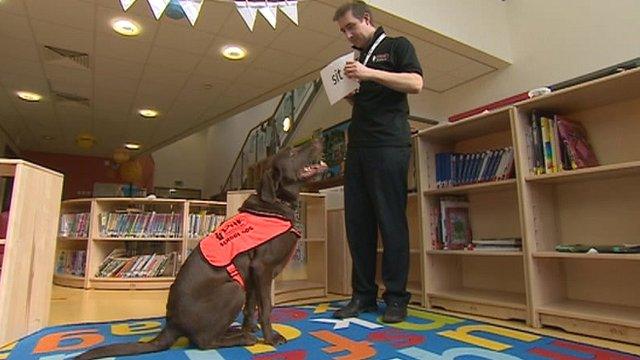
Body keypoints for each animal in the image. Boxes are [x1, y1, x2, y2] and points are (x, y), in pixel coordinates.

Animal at [75, 139, 328, 360]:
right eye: (292, 153)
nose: (318, 139)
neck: (277, 204)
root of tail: (172, 324)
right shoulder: (262, 269)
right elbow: (266, 307)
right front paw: (271, 338)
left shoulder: (253, 278)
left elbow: (251, 309)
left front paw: (250, 328)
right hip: (233, 289)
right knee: (204, 341)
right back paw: (241, 339)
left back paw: (236, 331)